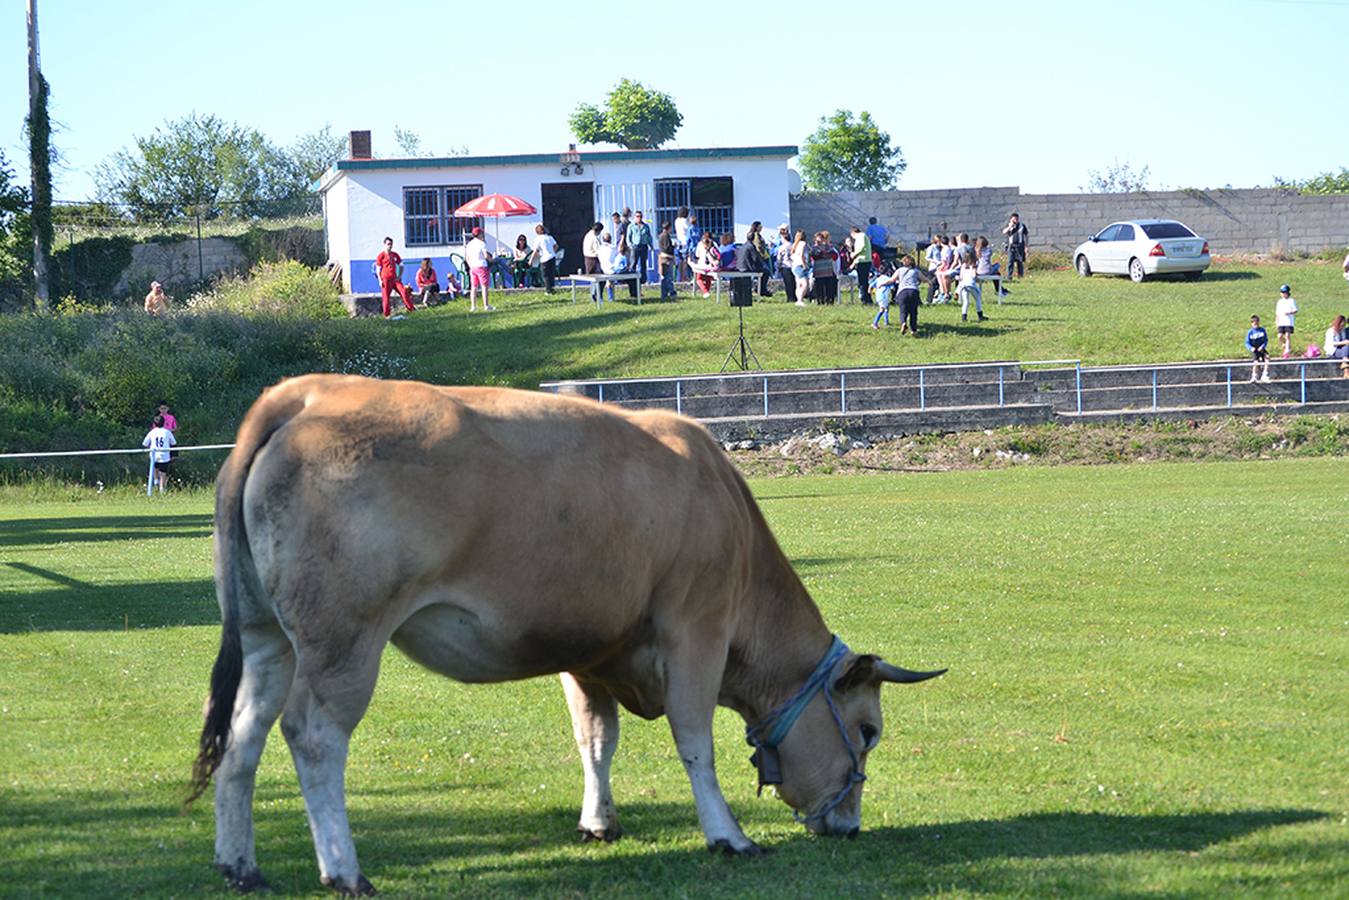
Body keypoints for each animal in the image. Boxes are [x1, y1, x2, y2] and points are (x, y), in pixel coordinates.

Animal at [190, 372, 944, 895]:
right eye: (869, 730)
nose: (849, 825)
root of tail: (305, 393)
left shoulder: (589, 651)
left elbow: (595, 739)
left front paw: (598, 821)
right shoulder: (696, 626)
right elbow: (694, 739)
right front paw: (726, 835)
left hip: (266, 633)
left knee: (243, 735)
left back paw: (239, 864)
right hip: (344, 638)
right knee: (313, 737)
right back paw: (344, 871)